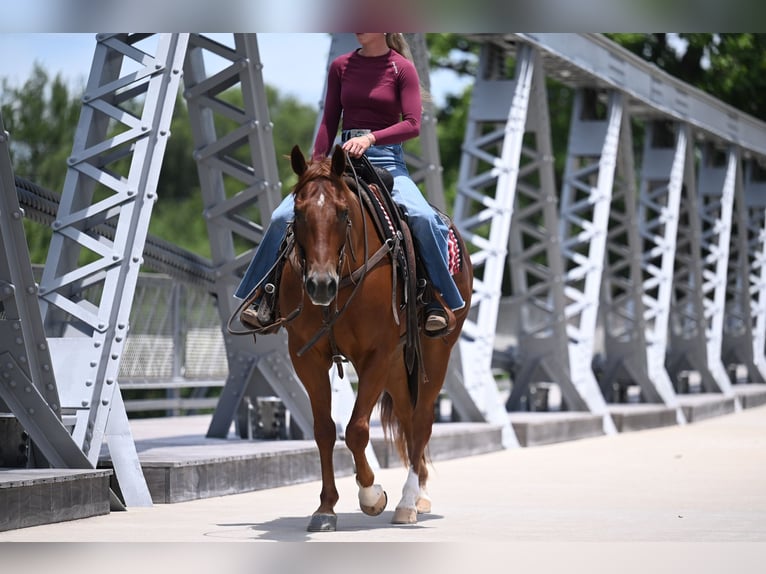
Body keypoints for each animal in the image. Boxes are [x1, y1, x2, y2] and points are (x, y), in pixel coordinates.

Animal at [278, 144, 473, 532]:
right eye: (298, 211)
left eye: (342, 212)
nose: (320, 284)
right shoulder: (307, 357)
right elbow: (325, 430)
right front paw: (325, 508)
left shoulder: (376, 354)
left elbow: (356, 429)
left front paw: (371, 496)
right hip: (399, 365)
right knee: (409, 418)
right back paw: (415, 496)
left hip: (434, 354)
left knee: (422, 420)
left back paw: (407, 502)